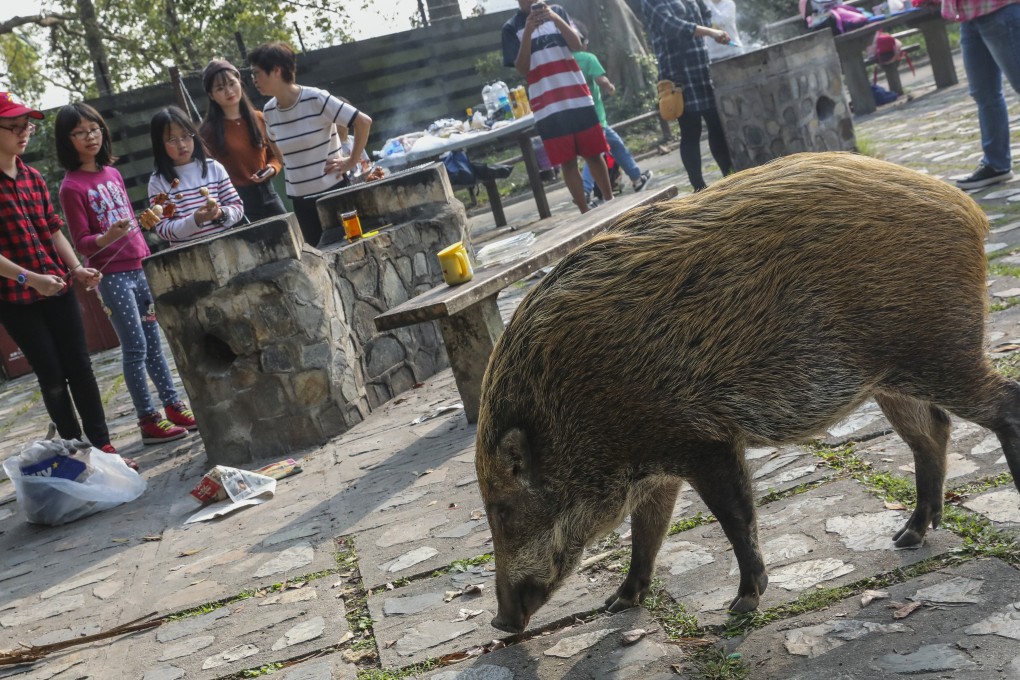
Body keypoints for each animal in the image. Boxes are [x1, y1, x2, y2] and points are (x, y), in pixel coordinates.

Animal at [475, 151, 1020, 634]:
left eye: (503, 510)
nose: (500, 622)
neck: (569, 410)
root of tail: (968, 211)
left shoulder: (703, 440)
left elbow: (734, 516)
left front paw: (740, 605)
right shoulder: (658, 468)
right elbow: (648, 533)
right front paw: (618, 603)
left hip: (940, 351)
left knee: (1004, 402)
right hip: (891, 379)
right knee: (932, 432)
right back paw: (906, 537)